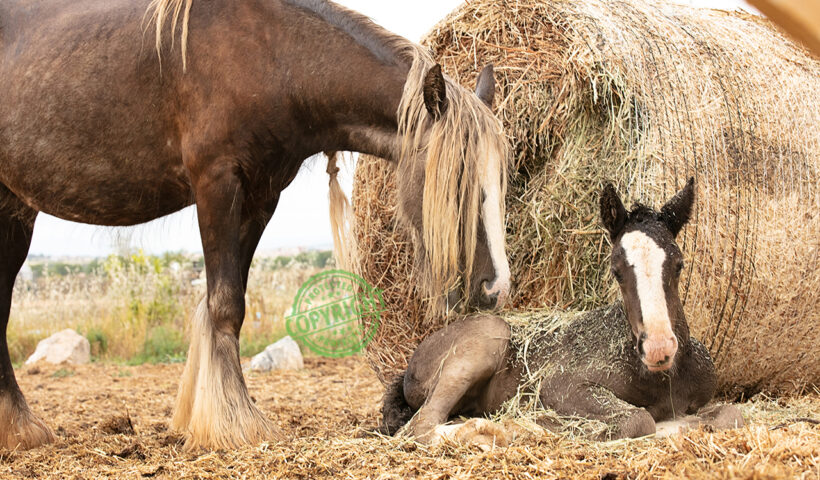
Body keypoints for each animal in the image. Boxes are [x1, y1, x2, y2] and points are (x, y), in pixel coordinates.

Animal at [0, 0, 510, 450]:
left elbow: (227, 302)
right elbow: (224, 304)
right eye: (459, 179)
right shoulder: (217, 182)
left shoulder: (262, 196)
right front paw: (233, 425)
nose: (495, 287)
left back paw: (18, 428)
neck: (272, 55)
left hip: (14, 207)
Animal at [382, 178, 748, 444]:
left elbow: (733, 415)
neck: (664, 377)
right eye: (616, 270)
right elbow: (640, 419)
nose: (658, 348)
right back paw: (505, 429)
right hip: (483, 344)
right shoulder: (563, 387)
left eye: (679, 263)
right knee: (422, 425)